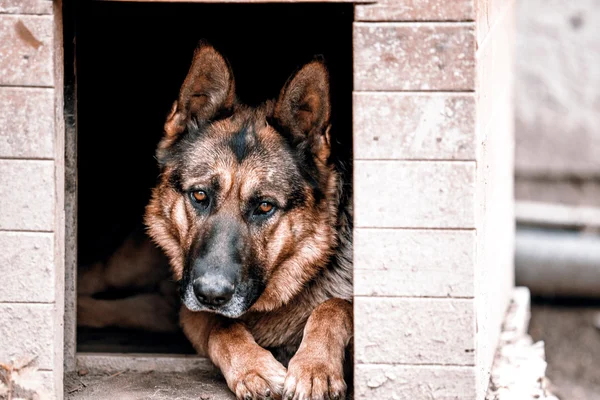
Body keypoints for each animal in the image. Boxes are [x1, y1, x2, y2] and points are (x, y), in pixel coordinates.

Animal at [144, 42, 354, 398]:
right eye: (199, 195)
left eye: (265, 206)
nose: (211, 295)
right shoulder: (192, 311)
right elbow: (221, 325)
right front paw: (254, 368)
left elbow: (335, 306)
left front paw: (315, 369)